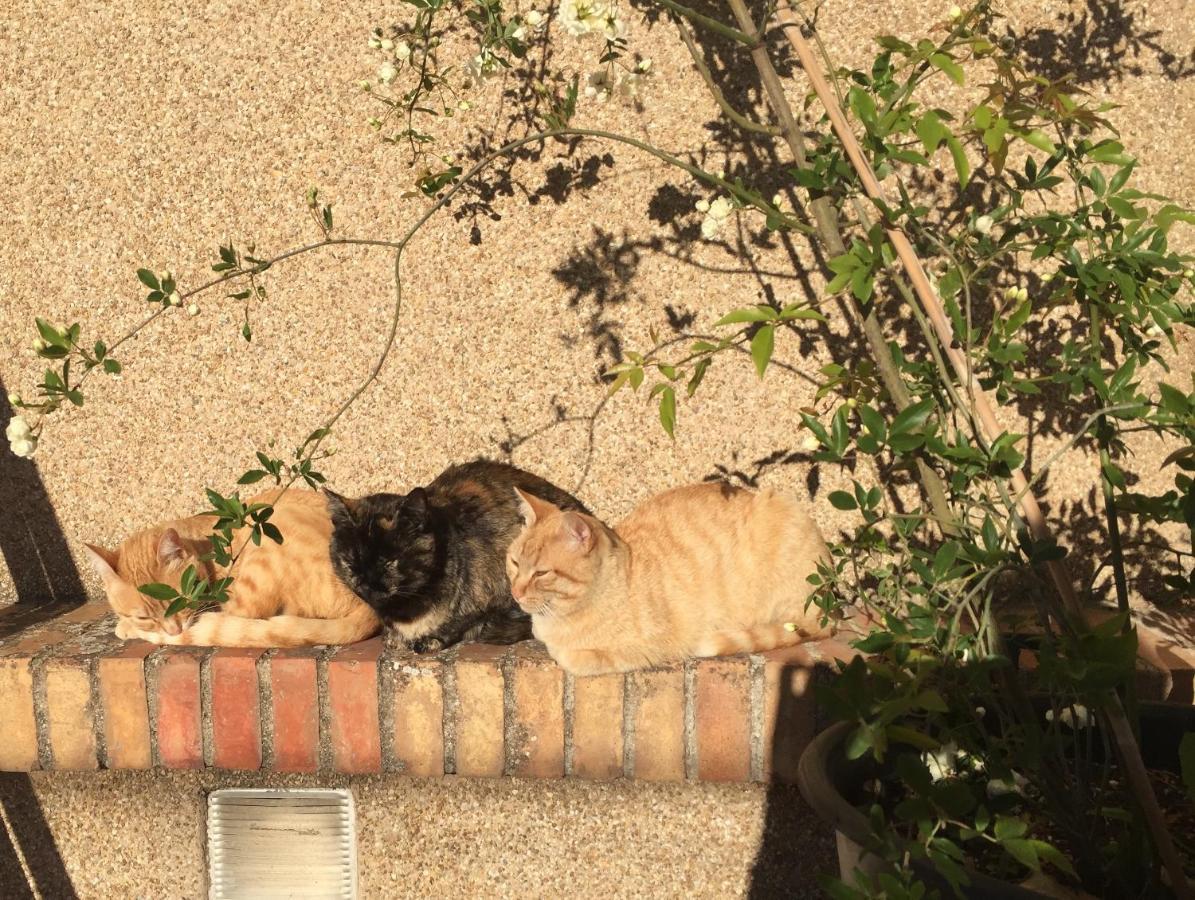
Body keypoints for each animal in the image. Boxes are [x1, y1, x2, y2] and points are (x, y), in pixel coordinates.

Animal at [325, 458, 590, 650]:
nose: (365, 585)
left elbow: (465, 618)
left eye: (389, 562)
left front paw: (433, 640)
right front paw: (394, 639)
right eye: (349, 562)